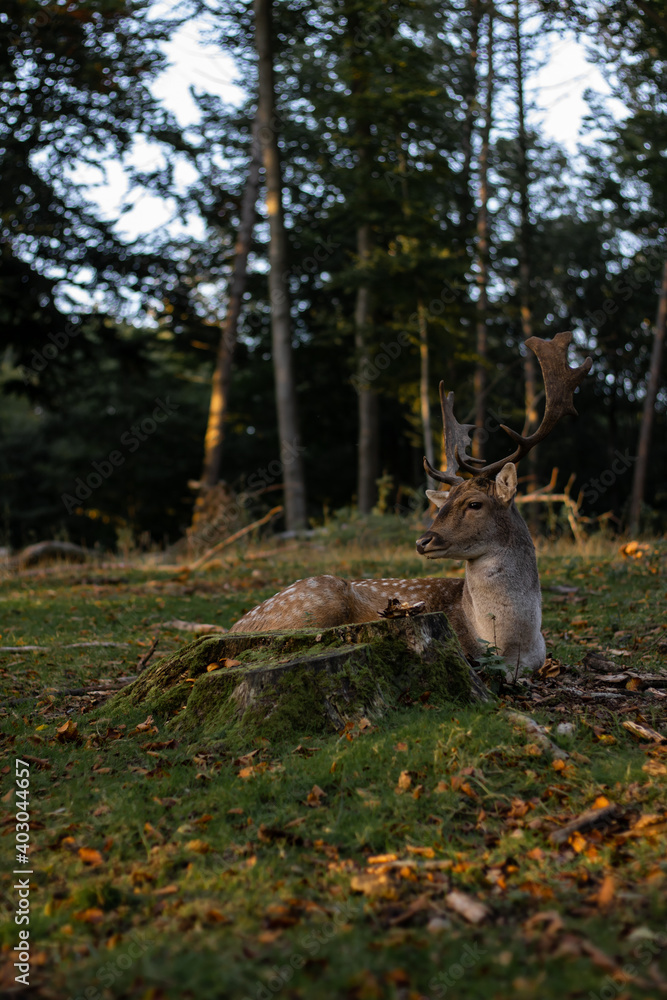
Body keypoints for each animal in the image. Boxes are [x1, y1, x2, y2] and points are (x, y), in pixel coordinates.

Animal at [229, 331, 592, 674]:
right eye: (442, 505)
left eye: (474, 504)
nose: (423, 541)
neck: (512, 647)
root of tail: (234, 628)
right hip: (314, 601)